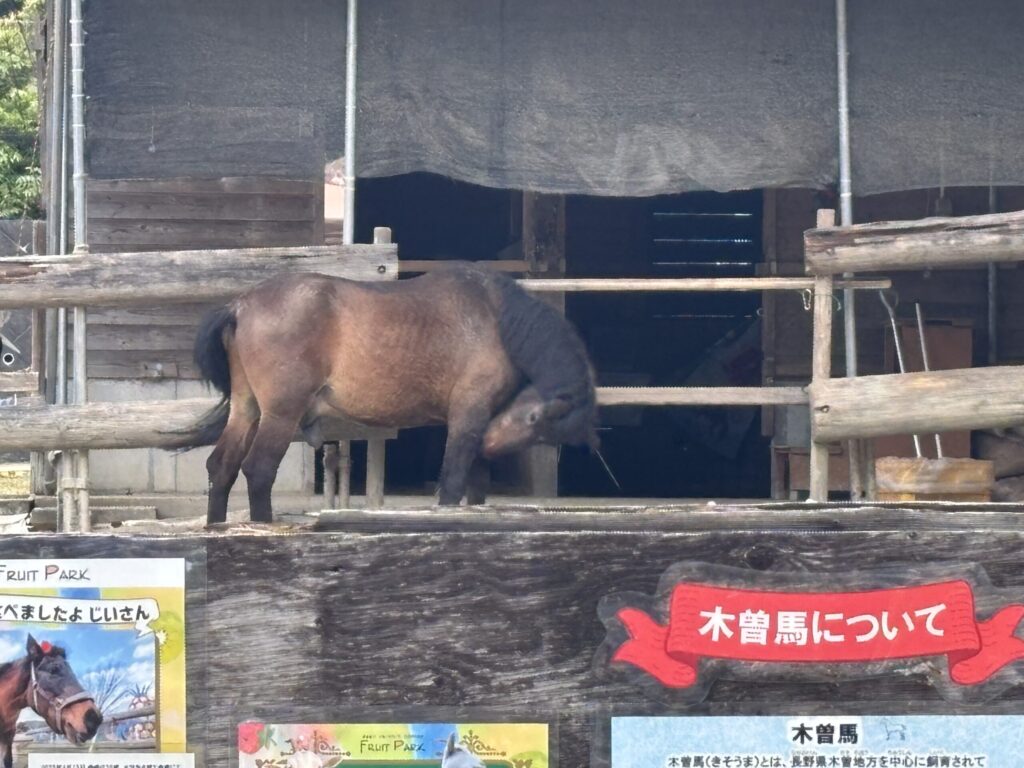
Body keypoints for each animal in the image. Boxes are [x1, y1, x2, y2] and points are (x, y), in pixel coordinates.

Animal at [191, 262, 598, 523]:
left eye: (543, 433)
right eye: (534, 417)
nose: (490, 445)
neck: (496, 317)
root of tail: (241, 304)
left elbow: (476, 490)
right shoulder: (469, 415)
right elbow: (452, 485)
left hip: (247, 410)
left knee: (222, 466)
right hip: (280, 415)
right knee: (258, 470)